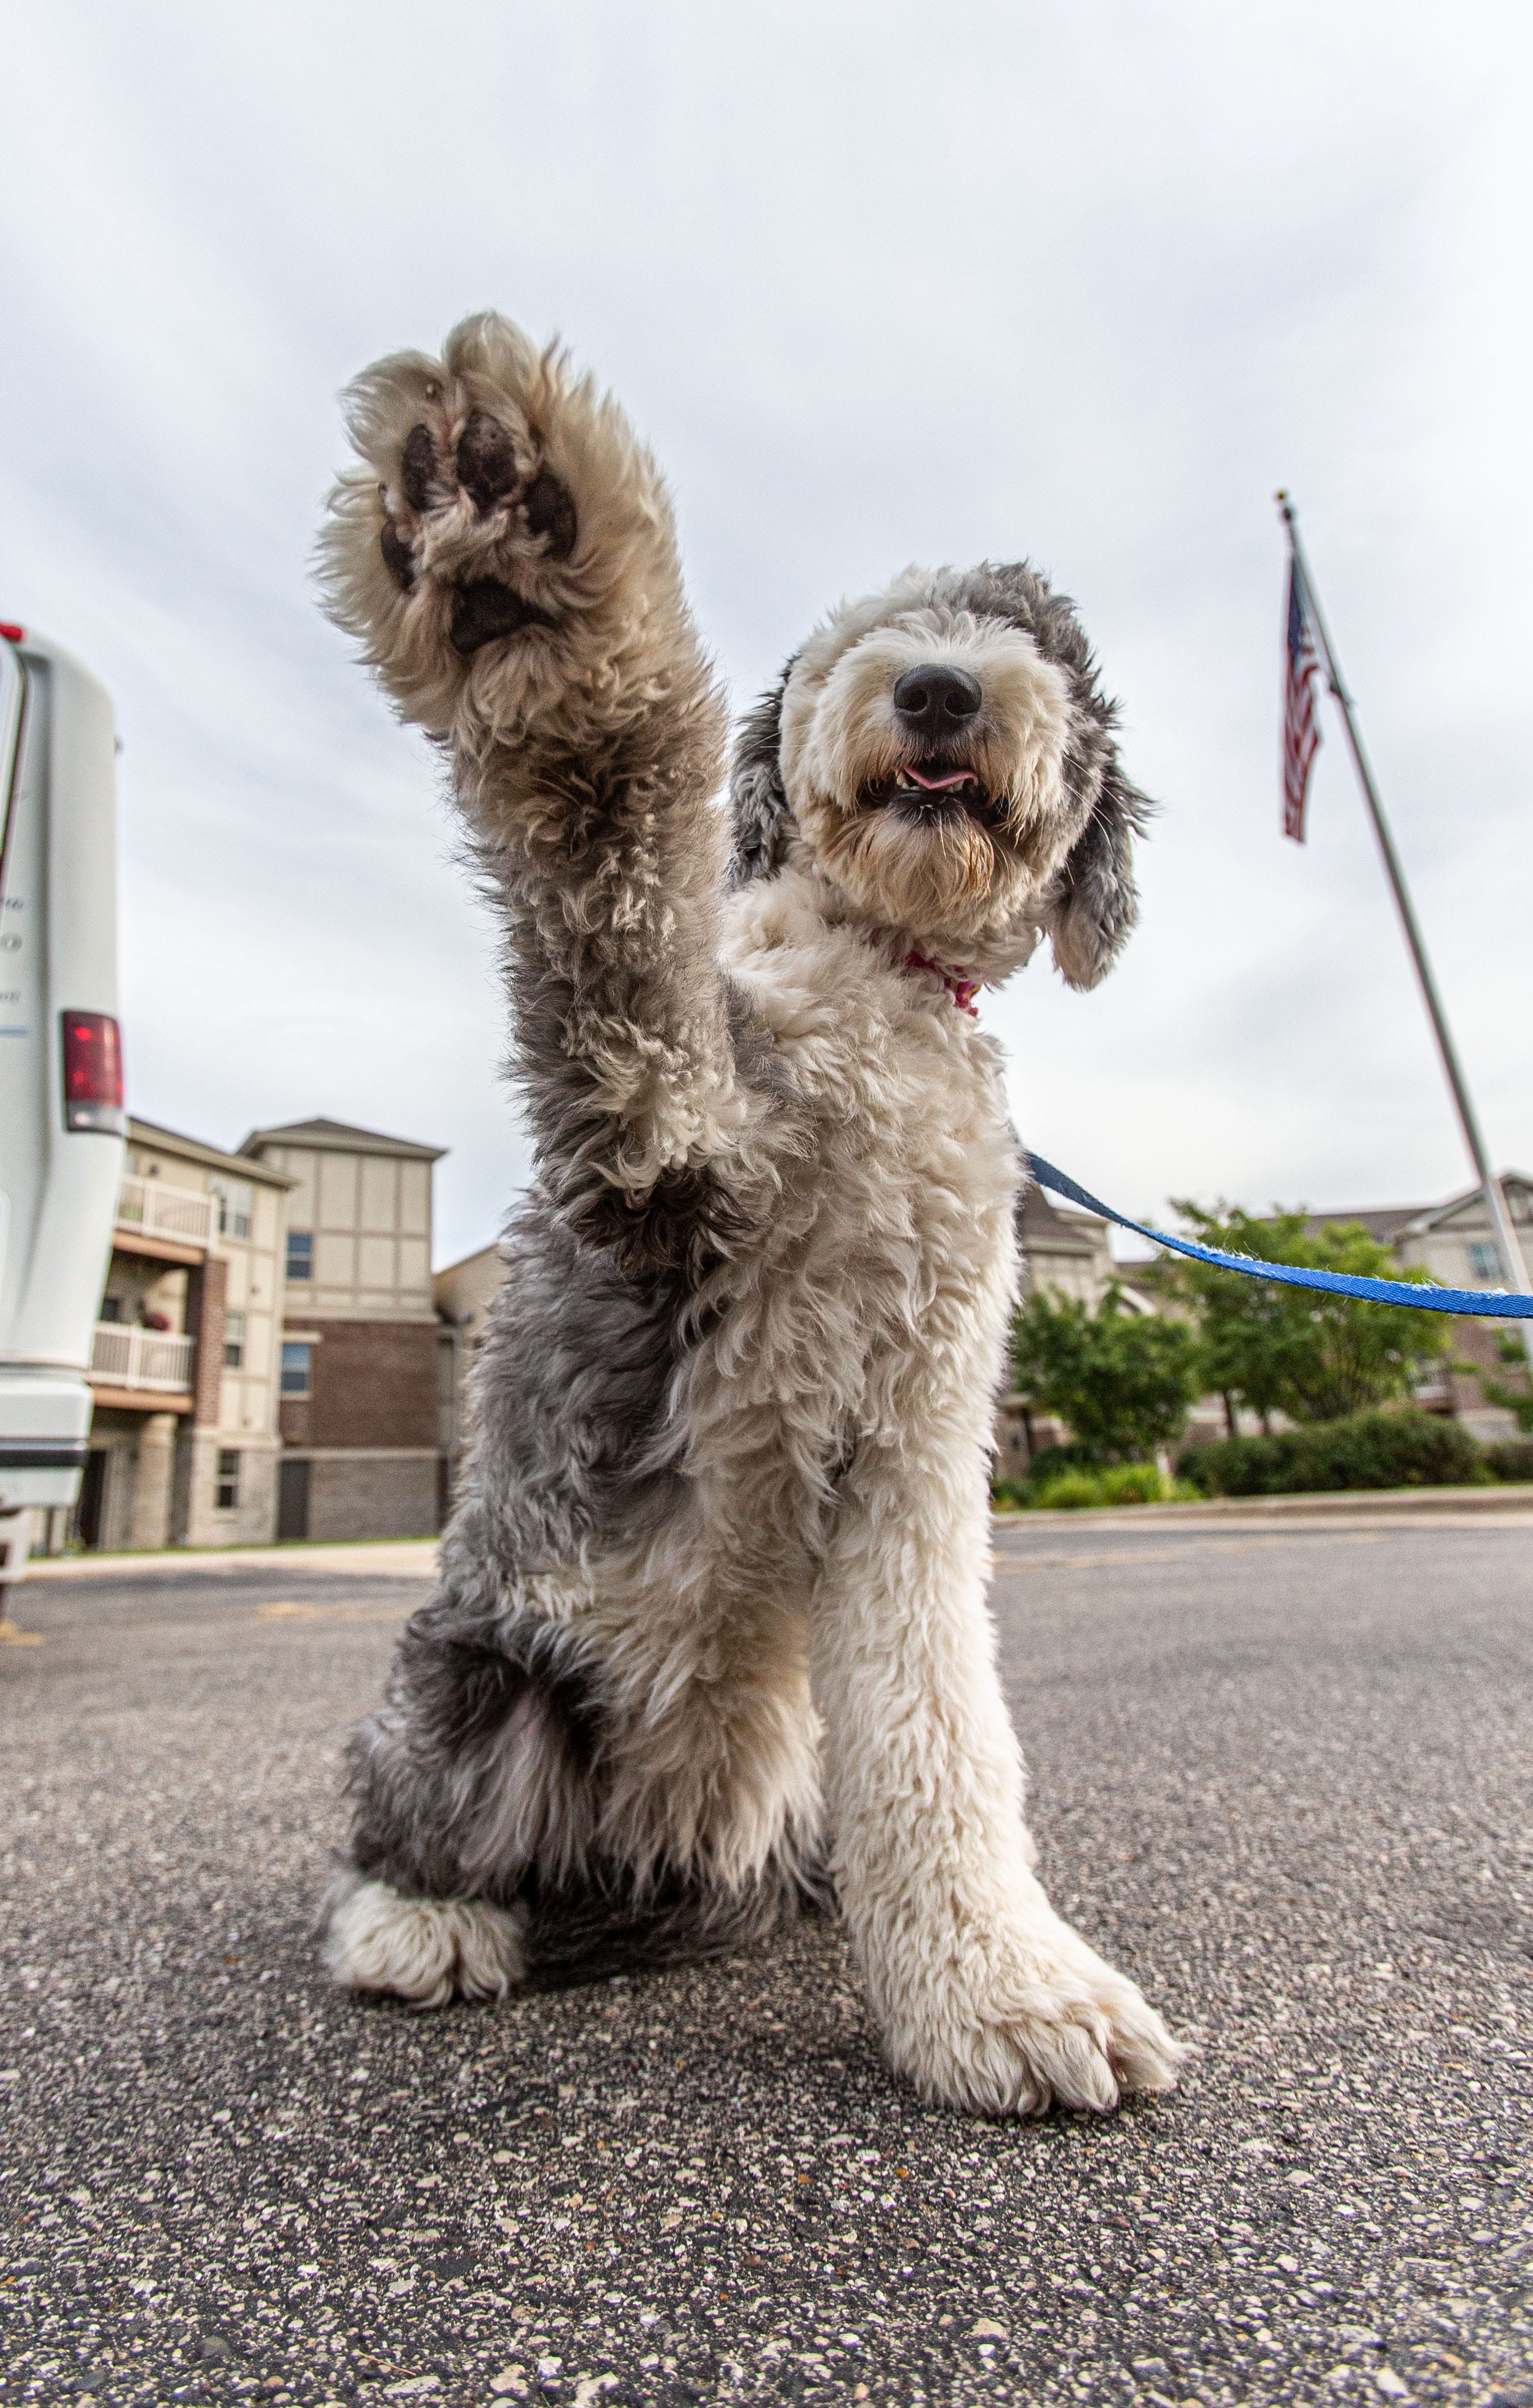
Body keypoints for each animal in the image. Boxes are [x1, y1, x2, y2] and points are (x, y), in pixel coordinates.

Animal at [318, 310, 1184, 2119]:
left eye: (1035, 647)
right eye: (869, 629)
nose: (936, 686)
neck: (879, 970)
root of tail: (671, 1844)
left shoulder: (915, 1440)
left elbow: (937, 1725)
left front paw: (999, 1991)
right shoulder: (660, 1149)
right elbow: (605, 838)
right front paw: (513, 541)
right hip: (481, 1679)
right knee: (402, 1821)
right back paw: (416, 1923)